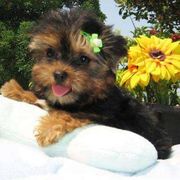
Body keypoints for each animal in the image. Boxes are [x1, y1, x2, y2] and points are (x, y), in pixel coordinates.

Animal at [0, 9, 172, 159]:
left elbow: (69, 114)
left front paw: (48, 128)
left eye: (83, 59)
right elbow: (41, 99)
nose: (59, 74)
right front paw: (16, 90)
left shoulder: (102, 116)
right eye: (49, 53)